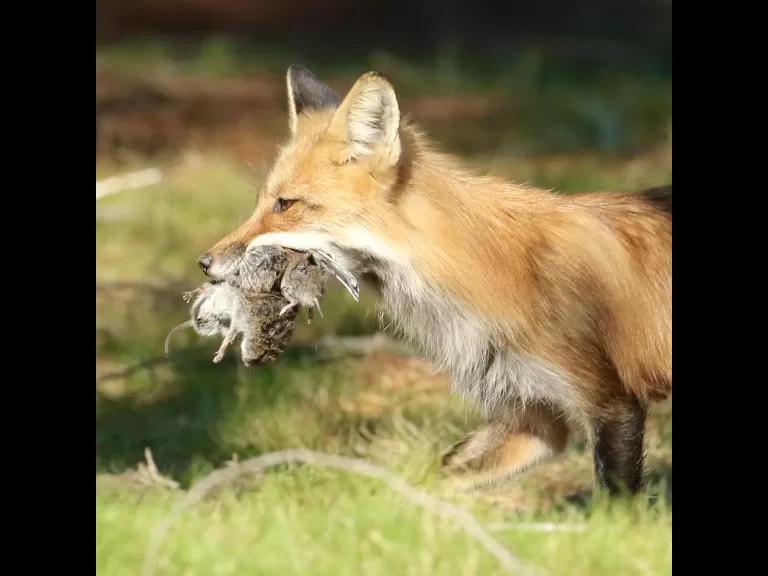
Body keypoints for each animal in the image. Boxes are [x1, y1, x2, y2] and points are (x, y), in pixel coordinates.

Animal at [198, 65, 672, 497]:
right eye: (261, 203)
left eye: (285, 204)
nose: (204, 262)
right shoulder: (531, 417)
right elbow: (434, 476)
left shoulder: (609, 399)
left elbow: (615, 503)